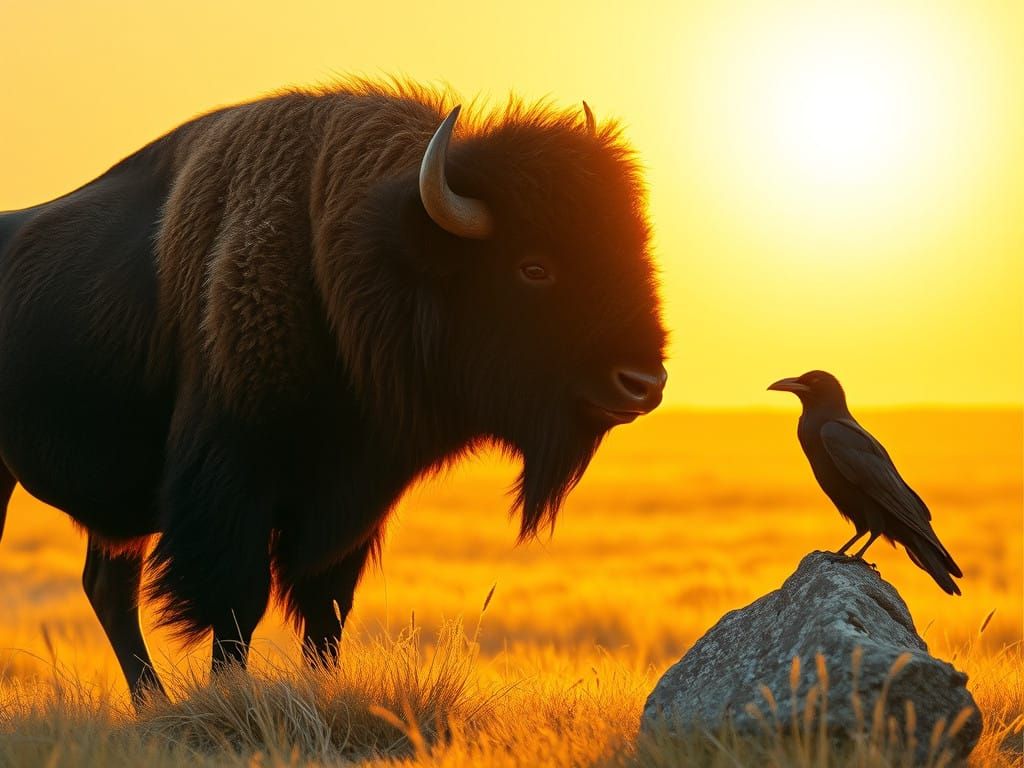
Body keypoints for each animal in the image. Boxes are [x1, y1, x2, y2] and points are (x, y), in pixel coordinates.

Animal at [0, 81, 666, 703]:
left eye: (631, 250)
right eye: (534, 268)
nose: (644, 382)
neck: (343, 261)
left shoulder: (354, 499)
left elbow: (327, 609)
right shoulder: (234, 484)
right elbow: (238, 606)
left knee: (108, 587)